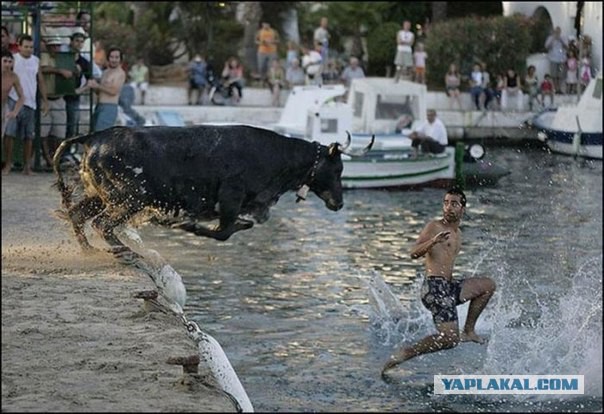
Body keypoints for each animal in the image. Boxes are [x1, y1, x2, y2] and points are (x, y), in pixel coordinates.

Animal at [52, 123, 372, 252]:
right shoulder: (230, 198)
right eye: (338, 169)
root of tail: (95, 136)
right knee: (103, 224)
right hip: (131, 198)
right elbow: (224, 232)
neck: (276, 155)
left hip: (99, 195)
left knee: (79, 216)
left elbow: (238, 226)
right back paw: (125, 250)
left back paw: (88, 250)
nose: (339, 203)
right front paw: (185, 225)